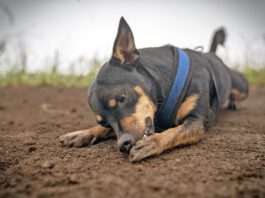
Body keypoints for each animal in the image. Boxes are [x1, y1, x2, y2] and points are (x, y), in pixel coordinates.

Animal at [58, 17, 248, 162]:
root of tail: (210, 54)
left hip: (242, 88)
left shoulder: (197, 121)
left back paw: (232, 103)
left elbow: (175, 132)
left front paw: (153, 142)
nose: (123, 144)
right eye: (102, 121)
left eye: (122, 97)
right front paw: (83, 133)